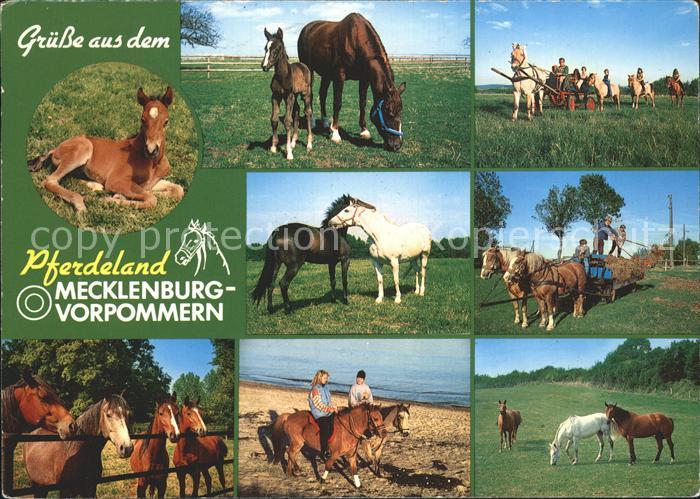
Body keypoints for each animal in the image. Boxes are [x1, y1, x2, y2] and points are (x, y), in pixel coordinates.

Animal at [27, 86, 184, 215]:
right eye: (142, 119)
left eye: (166, 121)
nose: (151, 150)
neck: (152, 163)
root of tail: (57, 148)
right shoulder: (116, 180)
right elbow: (151, 198)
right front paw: (110, 200)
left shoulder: (153, 182)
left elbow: (177, 190)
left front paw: (119, 196)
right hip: (84, 147)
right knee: (51, 180)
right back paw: (80, 204)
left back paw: (95, 185)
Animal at [262, 28, 313, 161]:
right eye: (265, 48)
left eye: (276, 49)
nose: (264, 66)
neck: (283, 76)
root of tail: (303, 65)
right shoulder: (276, 96)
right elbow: (274, 119)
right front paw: (273, 147)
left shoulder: (289, 96)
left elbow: (287, 121)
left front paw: (289, 153)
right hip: (294, 95)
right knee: (297, 110)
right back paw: (294, 141)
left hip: (305, 94)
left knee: (307, 112)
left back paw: (309, 144)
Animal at [298, 13, 406, 152]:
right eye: (388, 111)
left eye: (400, 111)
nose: (397, 145)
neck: (354, 39)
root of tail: (307, 28)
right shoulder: (339, 76)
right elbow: (337, 103)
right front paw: (335, 133)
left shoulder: (364, 78)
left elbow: (362, 103)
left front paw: (364, 130)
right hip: (309, 69)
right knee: (310, 95)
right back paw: (311, 122)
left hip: (326, 74)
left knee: (322, 95)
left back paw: (326, 122)